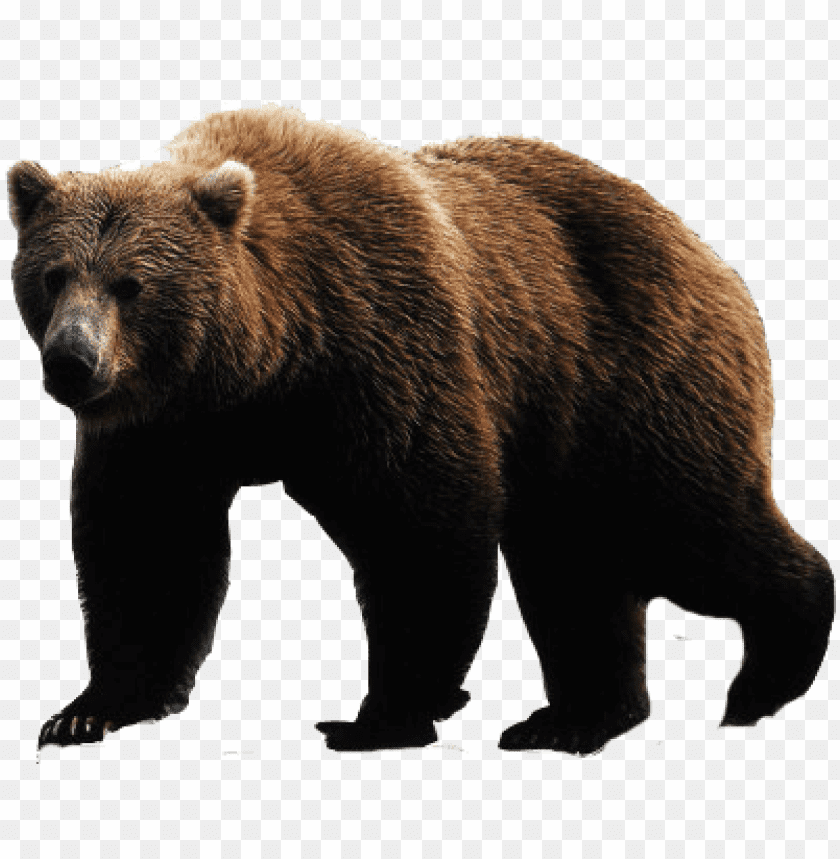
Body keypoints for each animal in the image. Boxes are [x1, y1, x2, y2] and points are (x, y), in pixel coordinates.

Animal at [7, 104, 834, 755]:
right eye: (53, 275)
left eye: (132, 284)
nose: (72, 361)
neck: (263, 367)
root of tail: (711, 257)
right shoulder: (167, 427)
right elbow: (147, 547)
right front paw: (88, 710)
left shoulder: (381, 345)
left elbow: (420, 523)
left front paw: (383, 712)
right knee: (575, 563)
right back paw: (573, 717)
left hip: (629, 379)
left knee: (683, 524)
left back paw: (768, 672)